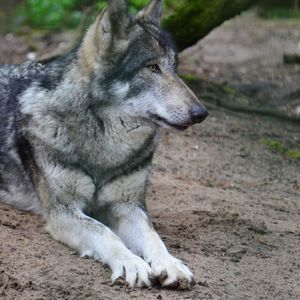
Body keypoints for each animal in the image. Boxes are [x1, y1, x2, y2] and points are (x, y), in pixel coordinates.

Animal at [0, 0, 206, 290]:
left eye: (175, 69)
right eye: (152, 67)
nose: (202, 113)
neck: (105, 144)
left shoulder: (127, 206)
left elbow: (153, 236)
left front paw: (170, 264)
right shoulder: (63, 211)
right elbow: (105, 233)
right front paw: (132, 263)